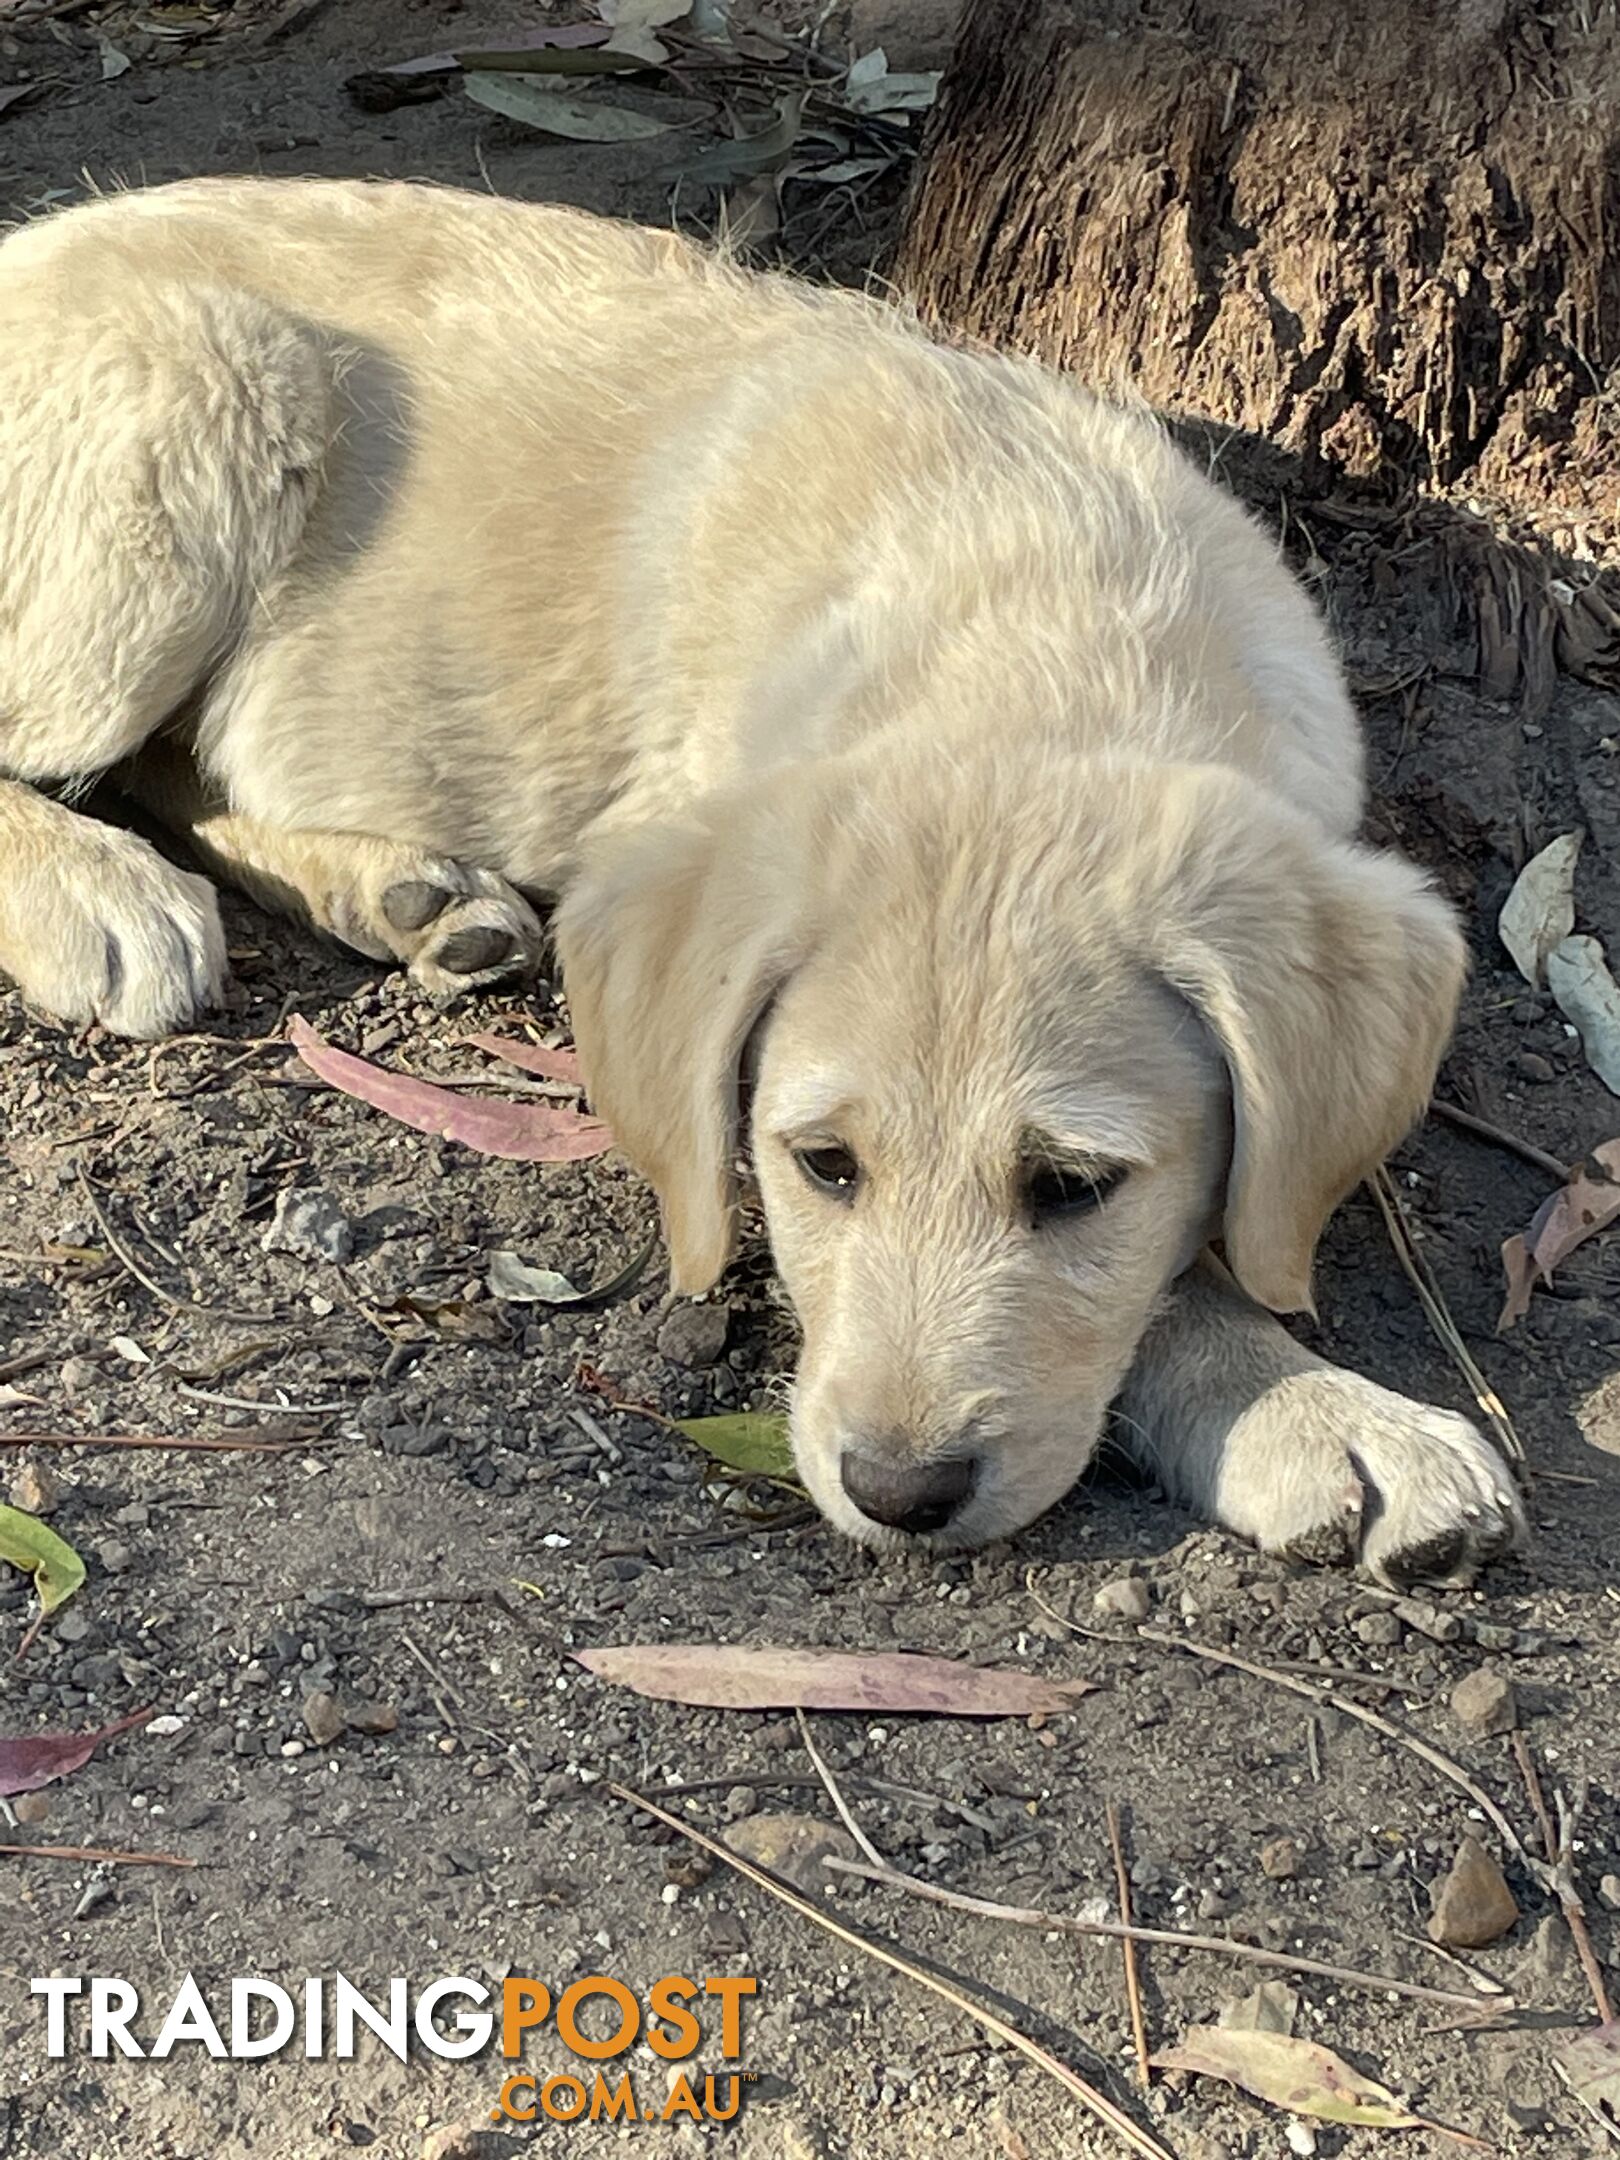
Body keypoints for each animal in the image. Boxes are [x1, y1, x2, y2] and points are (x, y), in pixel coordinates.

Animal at [0, 177, 1520, 1581]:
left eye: (1075, 1186)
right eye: (822, 1167)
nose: (899, 1494)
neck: (1046, 626)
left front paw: (1301, 1393)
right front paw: (1308, 1401)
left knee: (183, 766)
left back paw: (397, 895)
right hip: (191, 409)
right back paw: (95, 891)